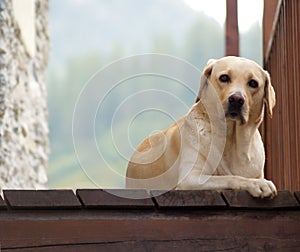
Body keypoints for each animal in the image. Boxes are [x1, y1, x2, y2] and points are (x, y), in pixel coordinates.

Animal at [125, 56, 276, 198]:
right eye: (224, 78)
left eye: (253, 83)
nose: (237, 99)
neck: (231, 140)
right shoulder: (190, 178)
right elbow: (229, 177)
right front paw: (258, 184)